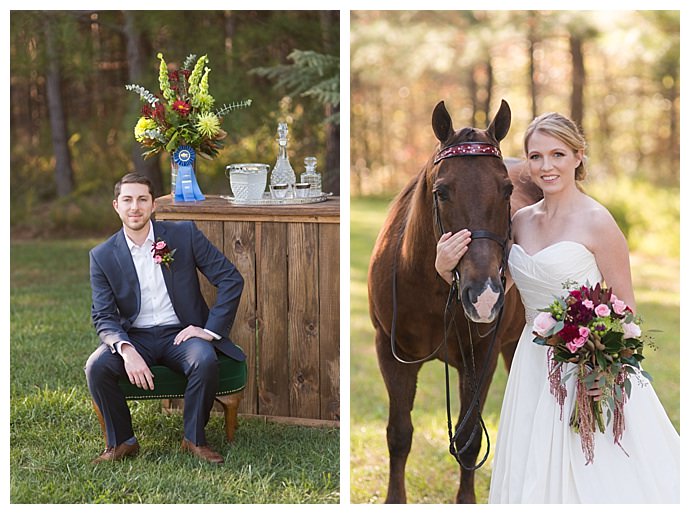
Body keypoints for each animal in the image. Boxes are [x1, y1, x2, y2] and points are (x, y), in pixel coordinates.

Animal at [368, 99, 540, 500]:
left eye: (507, 190)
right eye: (442, 191)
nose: (484, 295)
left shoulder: (481, 358)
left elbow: (469, 440)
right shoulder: (391, 353)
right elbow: (399, 435)